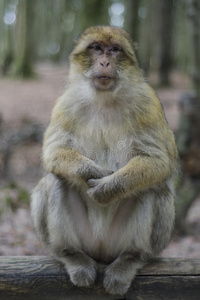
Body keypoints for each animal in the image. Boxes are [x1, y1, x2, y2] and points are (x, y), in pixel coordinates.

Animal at [30, 26, 178, 296]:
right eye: (97, 48)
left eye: (115, 50)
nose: (105, 62)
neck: (105, 98)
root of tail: (101, 250)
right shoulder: (64, 104)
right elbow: (54, 151)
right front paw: (90, 171)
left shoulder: (148, 103)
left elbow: (158, 160)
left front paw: (110, 187)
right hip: (85, 240)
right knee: (56, 180)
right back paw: (71, 255)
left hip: (124, 243)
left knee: (151, 187)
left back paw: (131, 258)